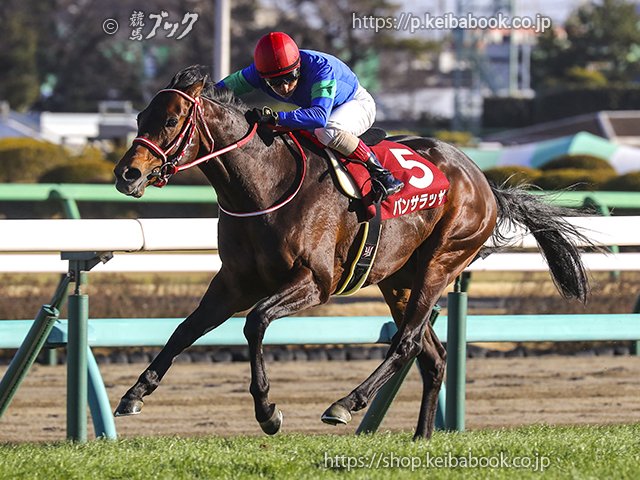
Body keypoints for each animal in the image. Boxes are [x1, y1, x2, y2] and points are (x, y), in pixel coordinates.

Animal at [113, 65, 591, 440]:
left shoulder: (315, 282)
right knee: (432, 356)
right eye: (140, 116)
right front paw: (135, 394)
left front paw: (268, 412)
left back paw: (346, 403)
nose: (126, 174)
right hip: (397, 279)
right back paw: (421, 437)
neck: (264, 184)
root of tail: (483, 181)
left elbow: (256, 322)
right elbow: (185, 330)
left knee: (407, 342)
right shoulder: (233, 282)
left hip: (441, 262)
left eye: (172, 120)